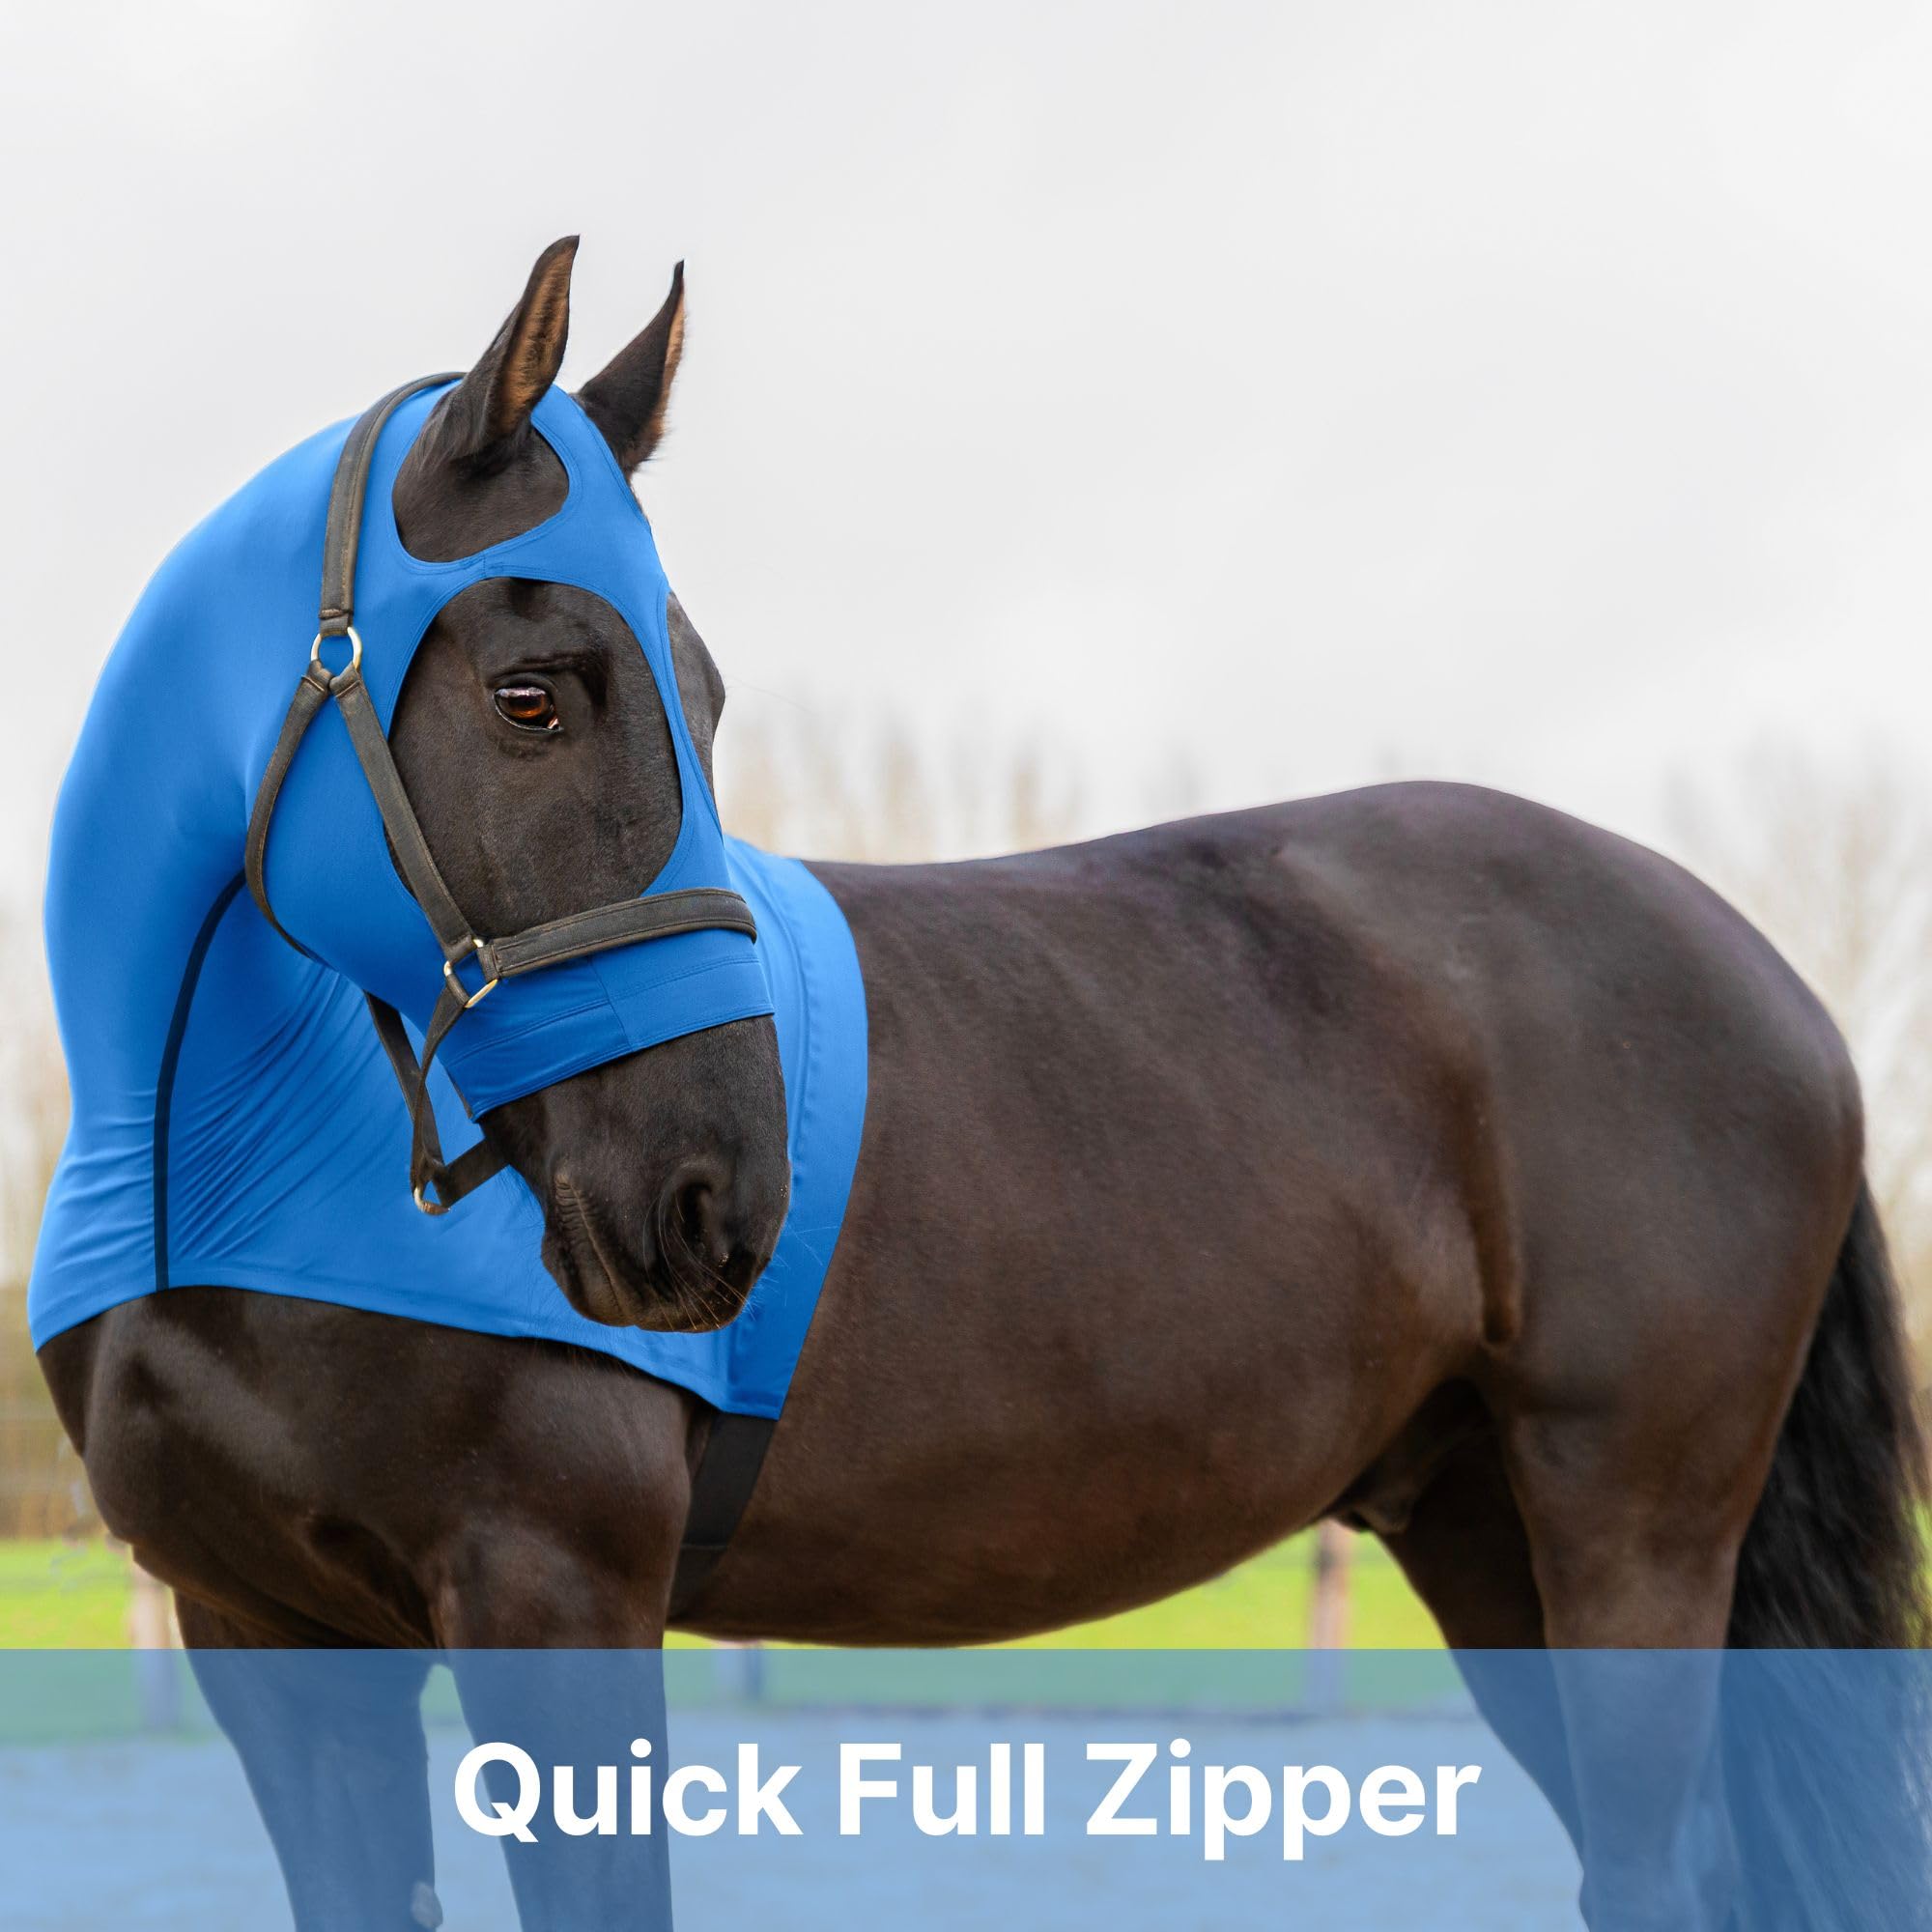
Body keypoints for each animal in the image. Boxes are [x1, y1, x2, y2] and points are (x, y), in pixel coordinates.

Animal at [37, 238, 1929, 1931]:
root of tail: (1768, 979)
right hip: (1479, 1527)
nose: (713, 1198)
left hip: (1632, 1524)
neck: (226, 1171)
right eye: (532, 696)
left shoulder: (552, 1597)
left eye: (701, 697)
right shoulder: (271, 1648)